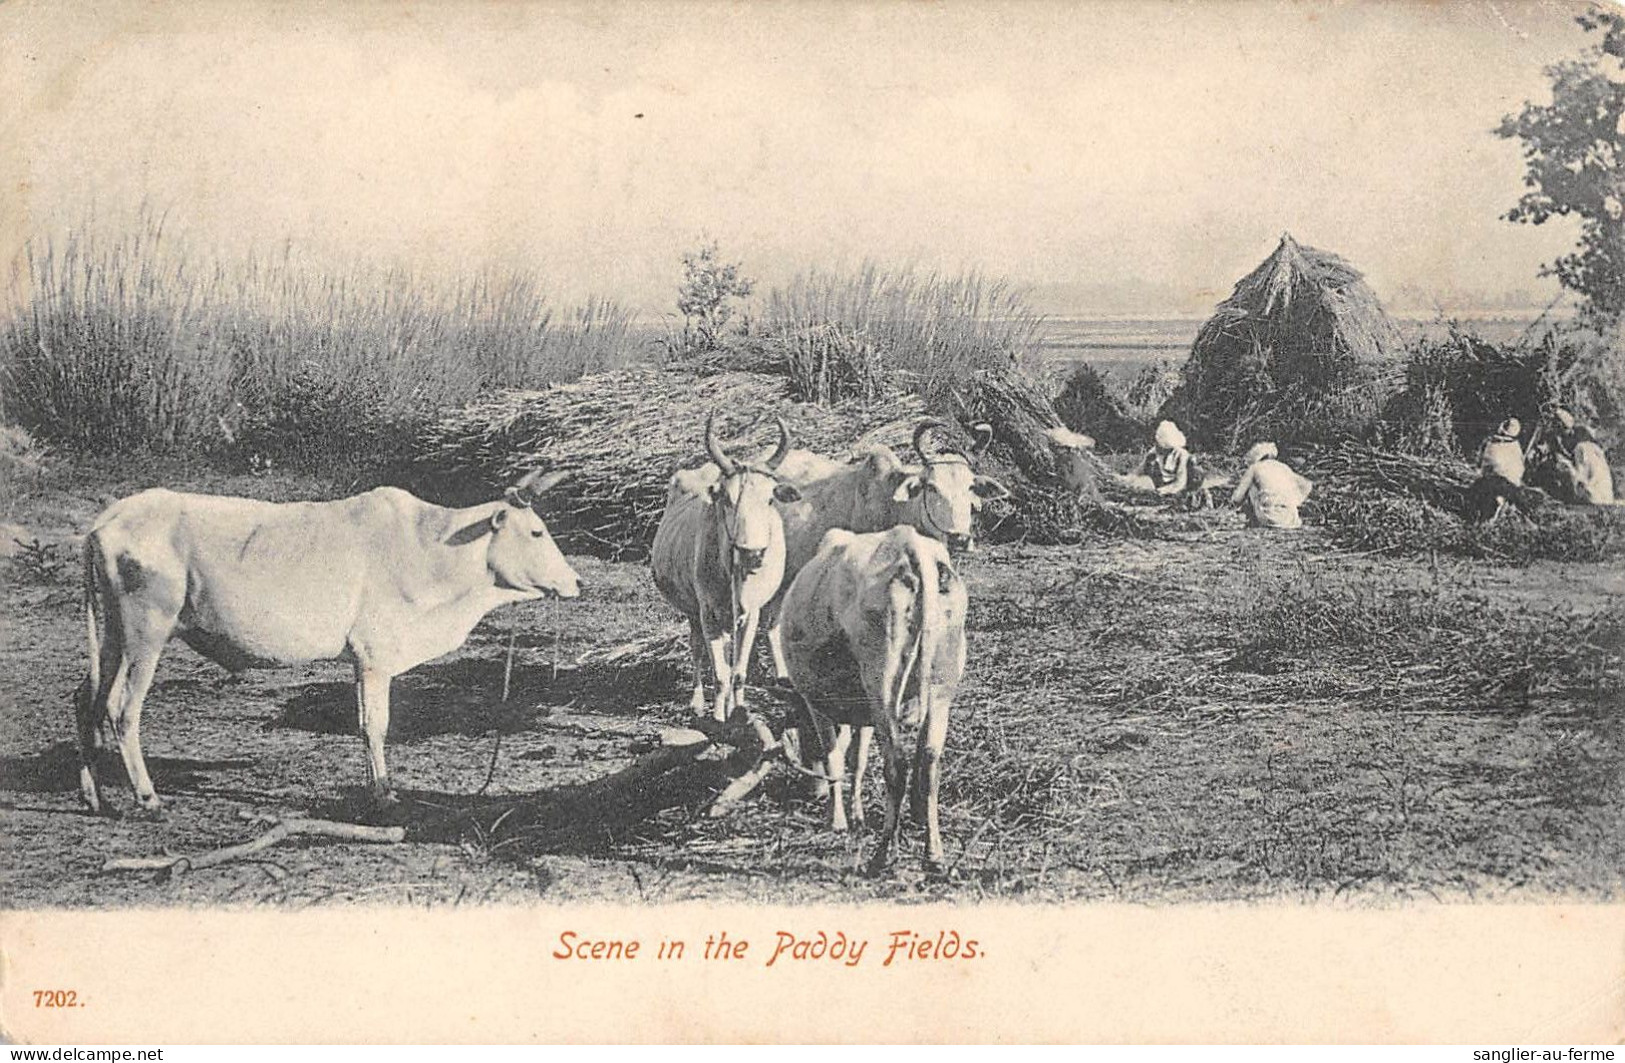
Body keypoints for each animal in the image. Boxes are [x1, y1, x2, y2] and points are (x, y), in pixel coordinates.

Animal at [646, 407, 799, 724]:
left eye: (770, 499)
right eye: (726, 498)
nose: (752, 553)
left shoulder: (750, 613)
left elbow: (737, 673)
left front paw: (738, 711)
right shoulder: (708, 614)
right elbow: (719, 673)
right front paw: (717, 716)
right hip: (693, 612)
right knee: (696, 650)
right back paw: (696, 702)